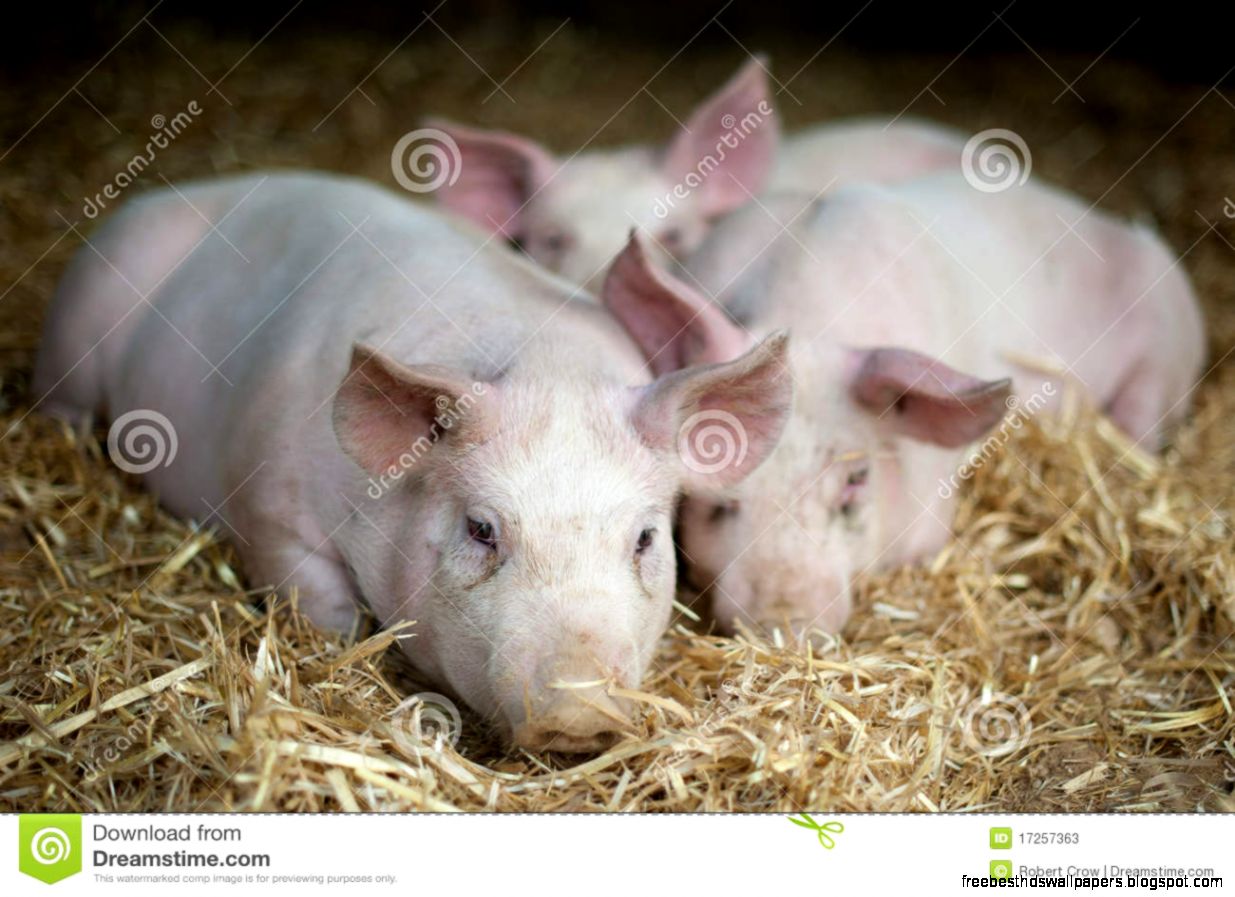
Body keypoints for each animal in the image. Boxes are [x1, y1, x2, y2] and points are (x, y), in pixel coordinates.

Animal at [33, 171, 792, 752]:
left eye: (644, 538)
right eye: (480, 530)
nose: (577, 713)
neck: (548, 369)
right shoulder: (267, 506)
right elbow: (319, 605)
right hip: (73, 330)